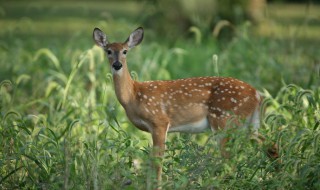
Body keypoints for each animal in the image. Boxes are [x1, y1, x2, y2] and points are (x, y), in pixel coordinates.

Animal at [92, 26, 278, 189]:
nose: (117, 65)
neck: (133, 96)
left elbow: (157, 161)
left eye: (125, 51)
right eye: (108, 51)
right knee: (269, 144)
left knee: (230, 161)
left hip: (225, 121)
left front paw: (157, 186)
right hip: (248, 124)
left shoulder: (159, 121)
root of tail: (257, 94)